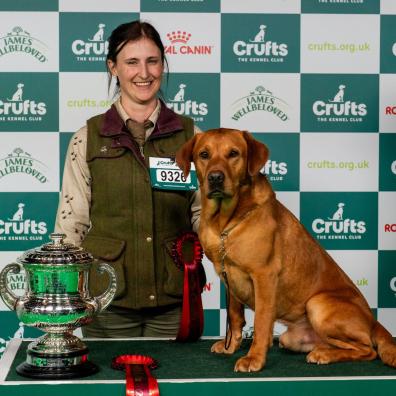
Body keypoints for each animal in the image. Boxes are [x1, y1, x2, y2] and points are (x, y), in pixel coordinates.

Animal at [176, 129, 396, 372]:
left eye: (233, 153)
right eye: (204, 155)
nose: (215, 178)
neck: (225, 222)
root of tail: (374, 321)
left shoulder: (264, 276)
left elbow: (261, 322)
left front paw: (254, 358)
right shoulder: (228, 276)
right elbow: (234, 317)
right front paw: (230, 346)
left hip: (317, 304)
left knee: (368, 349)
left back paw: (324, 355)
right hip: (291, 338)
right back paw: (323, 350)